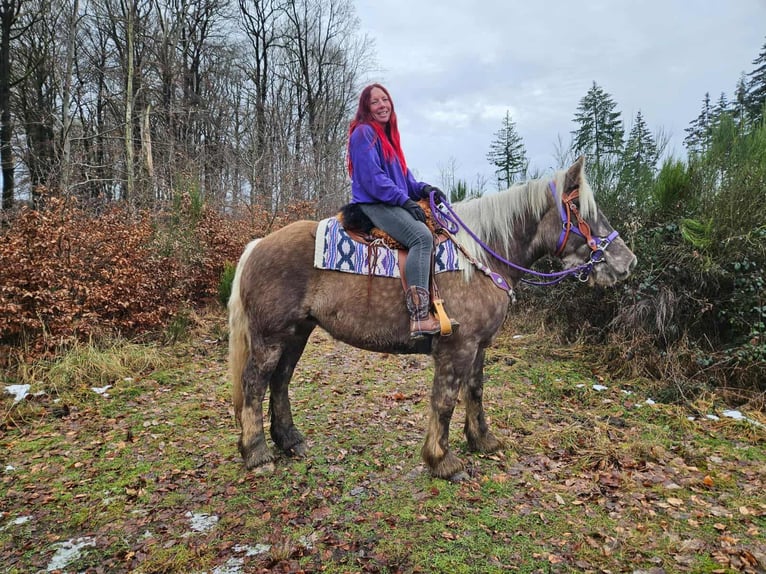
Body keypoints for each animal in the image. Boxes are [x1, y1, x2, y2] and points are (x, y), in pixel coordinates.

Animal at [228, 157, 637, 481]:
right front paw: (443, 461)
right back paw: (257, 454)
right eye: (583, 212)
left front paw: (482, 440)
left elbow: (475, 391)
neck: (480, 257)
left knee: (280, 382)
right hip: (270, 337)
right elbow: (445, 401)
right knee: (254, 384)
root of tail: (257, 245)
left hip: (297, 333)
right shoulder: (457, 348)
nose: (627, 262)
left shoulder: (479, 347)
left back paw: (289, 441)